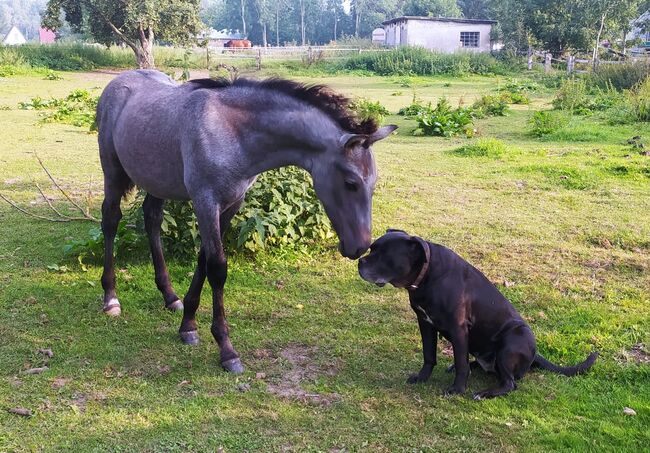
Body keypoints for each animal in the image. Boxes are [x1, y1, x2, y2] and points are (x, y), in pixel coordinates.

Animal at [96, 70, 394, 372]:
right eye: (351, 183)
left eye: (373, 182)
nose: (360, 247)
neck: (232, 132)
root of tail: (120, 80)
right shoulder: (205, 201)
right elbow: (217, 268)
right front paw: (226, 349)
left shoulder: (231, 202)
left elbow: (203, 259)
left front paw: (188, 324)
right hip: (112, 171)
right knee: (110, 220)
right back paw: (111, 298)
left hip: (157, 182)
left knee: (152, 219)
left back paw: (170, 297)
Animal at [356, 230, 596, 400]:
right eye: (372, 249)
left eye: (384, 255)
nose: (360, 261)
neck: (427, 275)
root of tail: (534, 354)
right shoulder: (425, 323)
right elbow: (429, 355)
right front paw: (422, 378)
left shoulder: (458, 328)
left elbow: (461, 364)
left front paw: (457, 389)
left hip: (513, 339)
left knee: (509, 382)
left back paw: (485, 392)